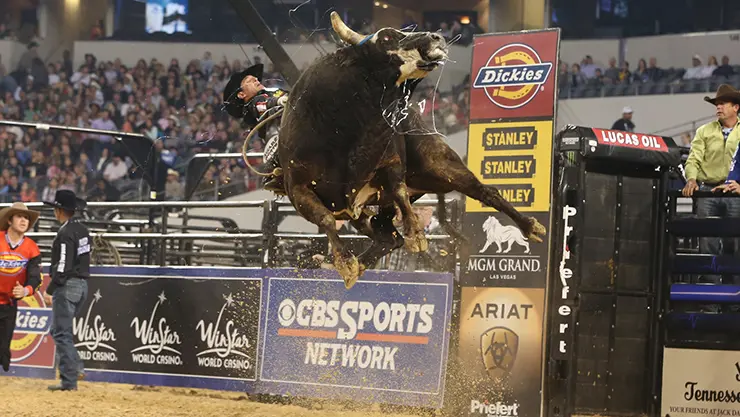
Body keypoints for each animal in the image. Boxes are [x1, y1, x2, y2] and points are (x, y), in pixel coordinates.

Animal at [272, 12, 546, 289]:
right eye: (385, 37)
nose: (436, 37)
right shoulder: (298, 189)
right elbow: (327, 218)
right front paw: (346, 262)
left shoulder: (389, 159)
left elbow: (399, 189)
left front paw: (415, 233)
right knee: (388, 236)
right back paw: (360, 262)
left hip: (440, 164)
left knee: (485, 191)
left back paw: (530, 226)